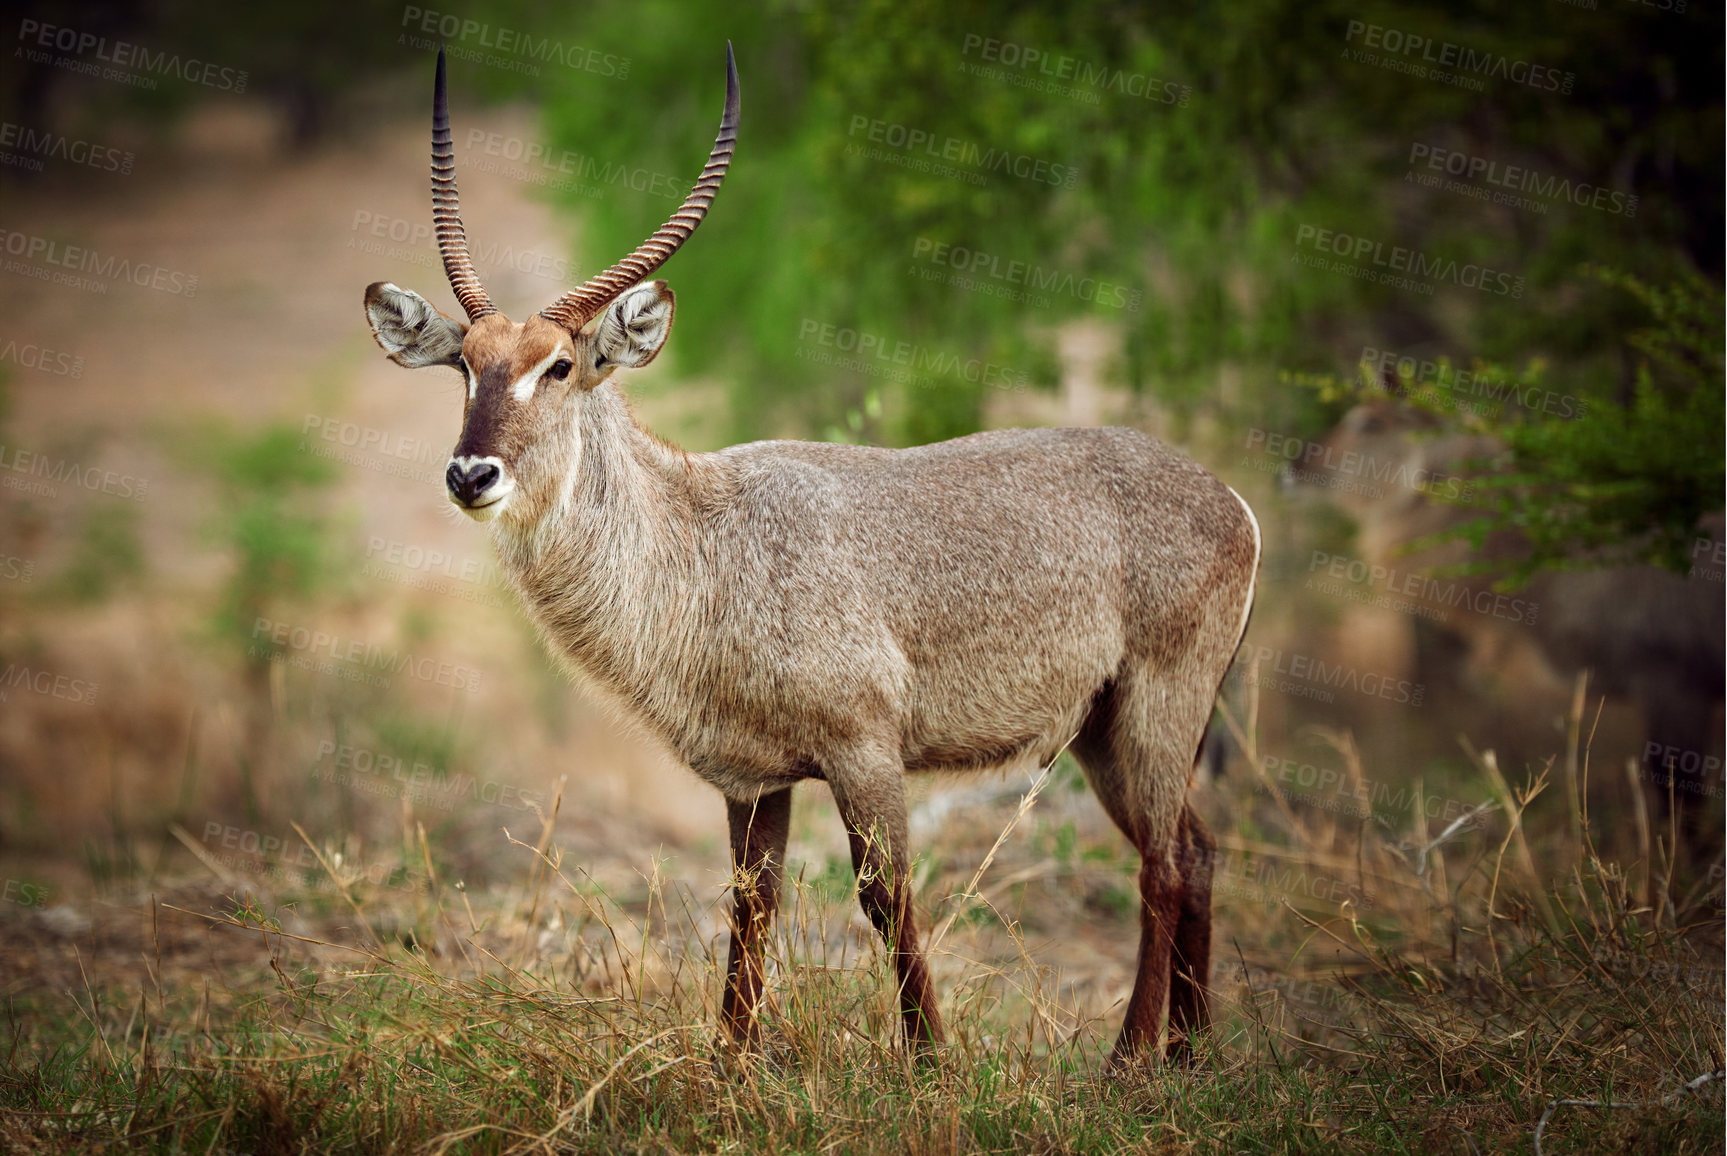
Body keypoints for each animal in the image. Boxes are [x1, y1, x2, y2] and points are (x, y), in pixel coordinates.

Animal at [360, 47, 1257, 1071]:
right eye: (464, 363)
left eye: (559, 365)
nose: (471, 473)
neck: (702, 540)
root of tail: (1229, 500)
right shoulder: (754, 779)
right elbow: (752, 908)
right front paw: (729, 1065)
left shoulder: (864, 750)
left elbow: (886, 897)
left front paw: (930, 1064)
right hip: (1104, 729)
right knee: (1194, 850)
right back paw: (1189, 1053)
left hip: (1158, 704)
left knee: (1161, 864)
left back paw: (1126, 1063)